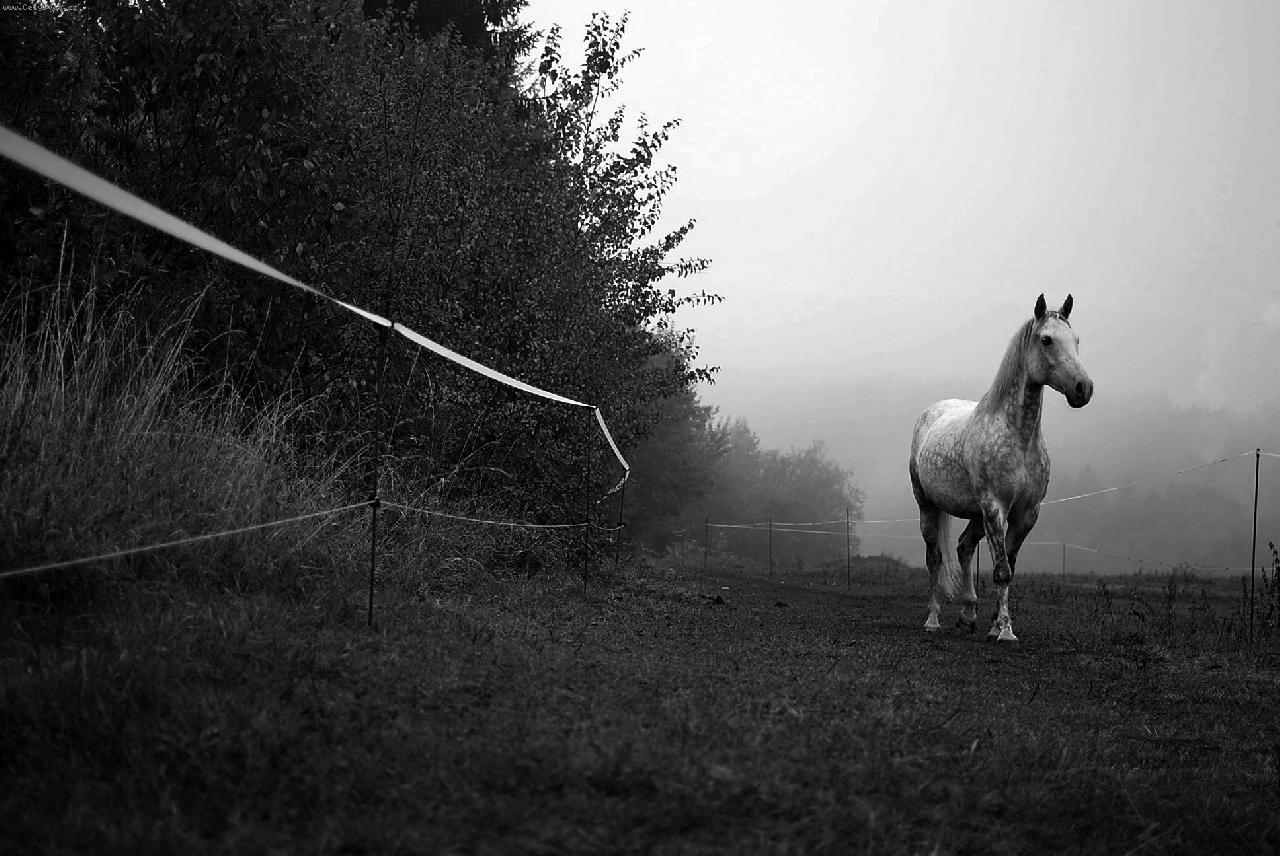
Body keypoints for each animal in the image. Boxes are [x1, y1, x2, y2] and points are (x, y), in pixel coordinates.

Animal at [909, 294, 1092, 642]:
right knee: (934, 558)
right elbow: (1002, 570)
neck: (1018, 437)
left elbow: (1009, 565)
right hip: (929, 506)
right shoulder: (996, 507)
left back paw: (968, 615)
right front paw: (1006, 631)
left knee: (964, 547)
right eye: (1046, 339)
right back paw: (932, 619)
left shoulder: (1026, 512)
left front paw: (995, 624)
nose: (1083, 388)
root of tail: (931, 412)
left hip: (976, 514)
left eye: (1076, 340)